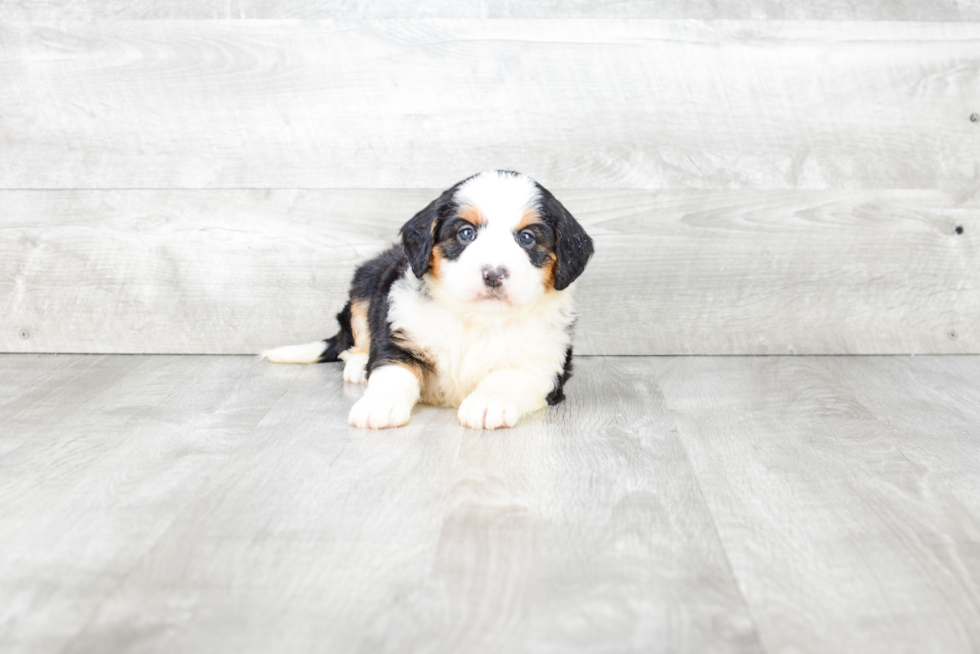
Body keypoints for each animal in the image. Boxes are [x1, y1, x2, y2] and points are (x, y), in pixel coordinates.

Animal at [260, 170, 592, 430]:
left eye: (527, 238)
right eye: (466, 233)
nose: (493, 274)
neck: (477, 320)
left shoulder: (545, 363)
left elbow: (510, 377)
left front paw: (487, 404)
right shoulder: (400, 335)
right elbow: (393, 372)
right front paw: (378, 406)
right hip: (366, 283)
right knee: (354, 337)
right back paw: (358, 364)